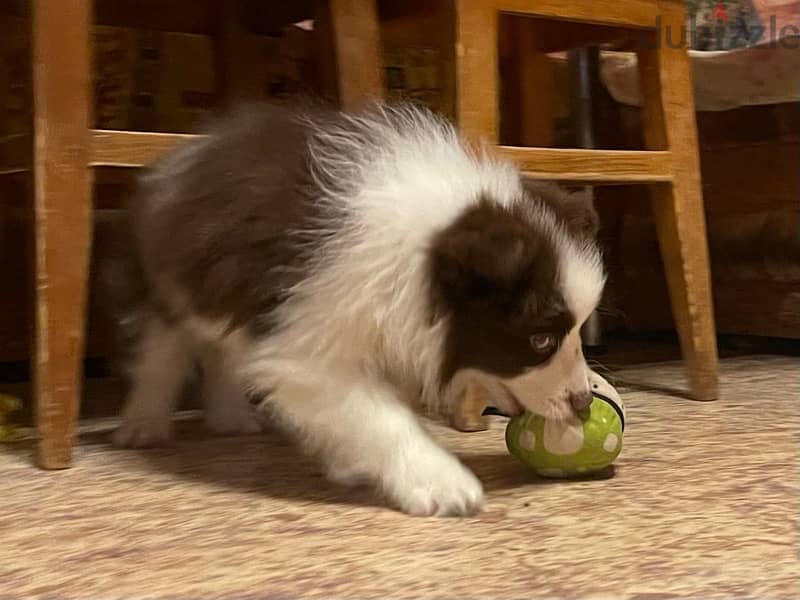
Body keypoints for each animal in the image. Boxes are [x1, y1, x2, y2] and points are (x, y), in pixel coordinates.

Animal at [108, 103, 608, 516]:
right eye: (540, 339)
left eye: (578, 329)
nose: (584, 403)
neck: (422, 252)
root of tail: (191, 148)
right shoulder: (306, 343)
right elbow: (376, 413)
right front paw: (440, 481)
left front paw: (348, 461)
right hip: (165, 284)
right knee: (162, 351)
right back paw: (143, 424)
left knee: (223, 350)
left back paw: (230, 418)